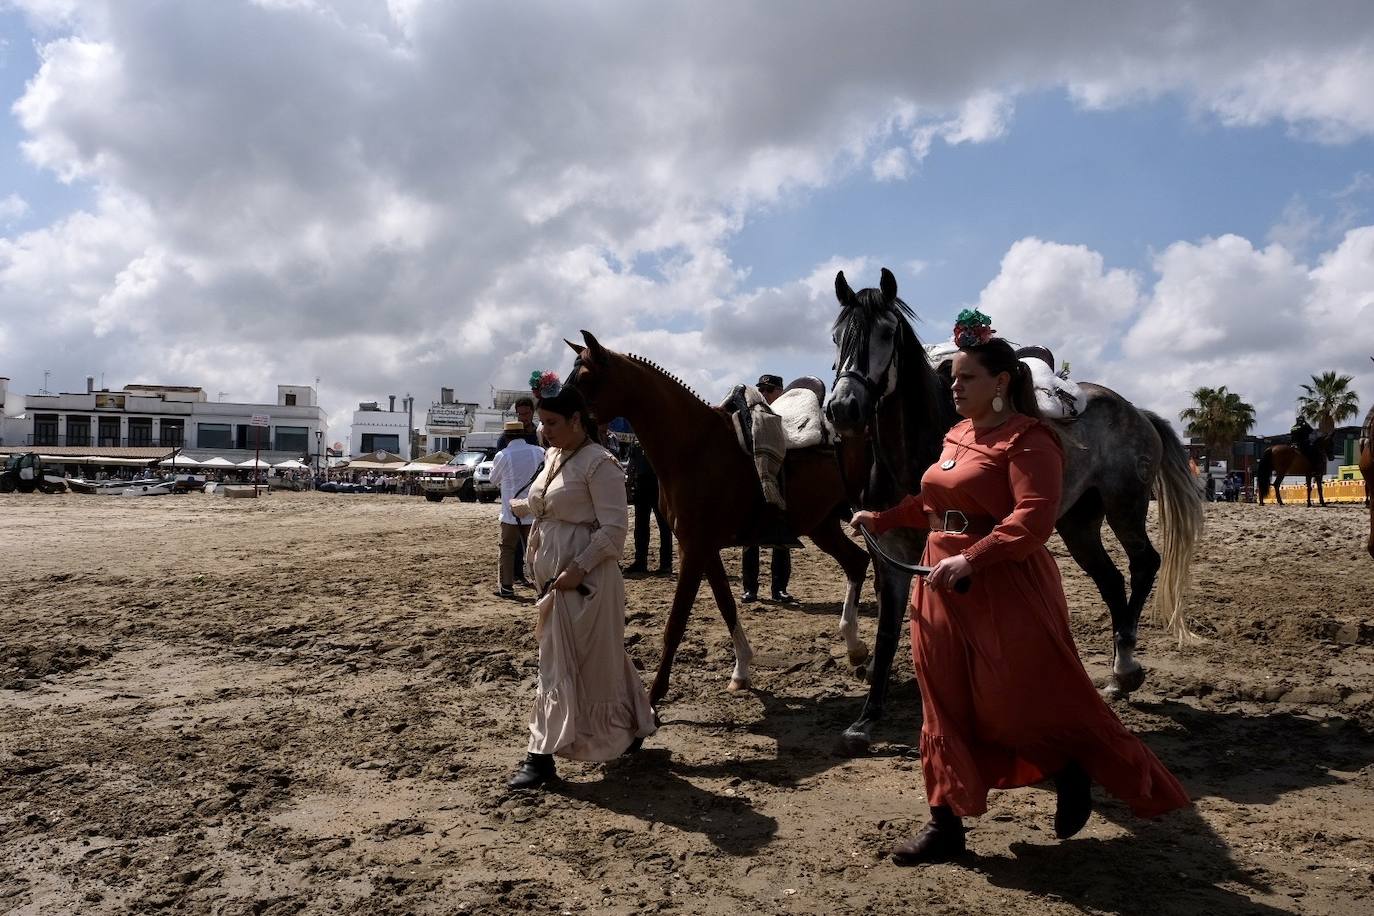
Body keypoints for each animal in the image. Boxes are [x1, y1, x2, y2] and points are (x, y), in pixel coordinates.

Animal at [560, 330, 868, 708]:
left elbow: (676, 623)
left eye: (585, 377)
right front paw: (741, 671)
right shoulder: (703, 548)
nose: (549, 424)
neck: (693, 447)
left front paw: (653, 698)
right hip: (822, 526)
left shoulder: (694, 549)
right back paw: (856, 648)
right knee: (858, 563)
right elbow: (726, 604)